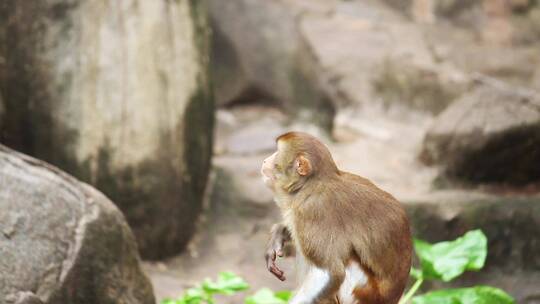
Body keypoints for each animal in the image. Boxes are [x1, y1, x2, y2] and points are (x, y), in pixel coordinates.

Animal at [260, 131, 410, 304]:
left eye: (277, 153)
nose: (265, 160)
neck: (310, 185)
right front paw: (279, 234)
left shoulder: (312, 210)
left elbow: (330, 273)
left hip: (363, 295)